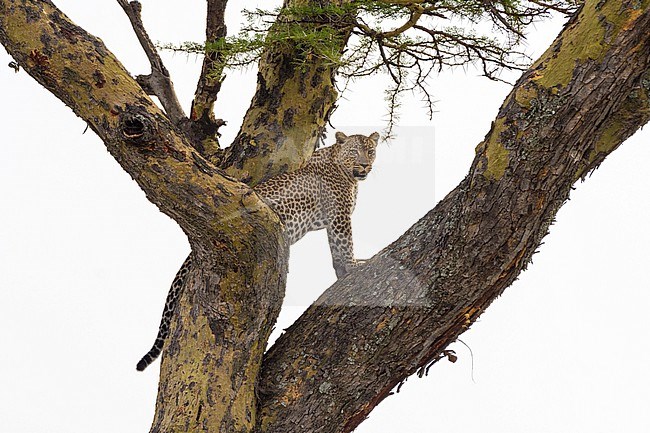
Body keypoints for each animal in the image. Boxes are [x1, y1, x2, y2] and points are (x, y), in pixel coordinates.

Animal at [137, 130, 380, 370]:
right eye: (354, 151)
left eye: (370, 151)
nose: (365, 164)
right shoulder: (339, 215)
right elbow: (344, 243)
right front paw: (353, 266)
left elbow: (336, 250)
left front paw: (342, 273)